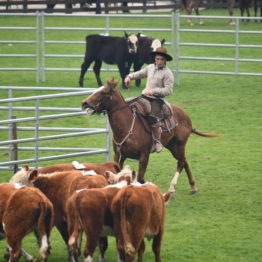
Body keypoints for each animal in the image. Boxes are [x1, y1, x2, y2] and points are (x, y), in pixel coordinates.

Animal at [82, 77, 217, 193]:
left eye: (104, 92)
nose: (84, 103)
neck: (127, 126)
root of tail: (185, 115)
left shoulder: (144, 156)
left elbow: (140, 179)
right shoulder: (119, 156)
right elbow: (117, 176)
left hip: (179, 144)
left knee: (181, 163)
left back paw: (172, 188)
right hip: (172, 145)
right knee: (184, 161)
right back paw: (193, 186)